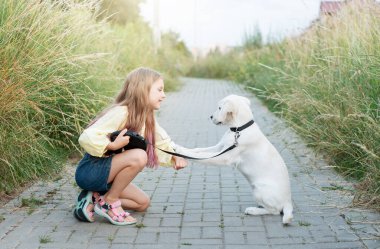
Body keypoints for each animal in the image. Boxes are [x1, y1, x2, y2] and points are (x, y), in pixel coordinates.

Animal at [174, 94, 294, 225]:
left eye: (220, 108)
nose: (210, 117)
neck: (239, 129)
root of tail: (288, 201)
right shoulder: (220, 147)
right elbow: (199, 150)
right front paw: (180, 148)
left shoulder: (224, 157)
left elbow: (202, 157)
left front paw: (181, 152)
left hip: (259, 190)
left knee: (275, 211)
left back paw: (253, 210)